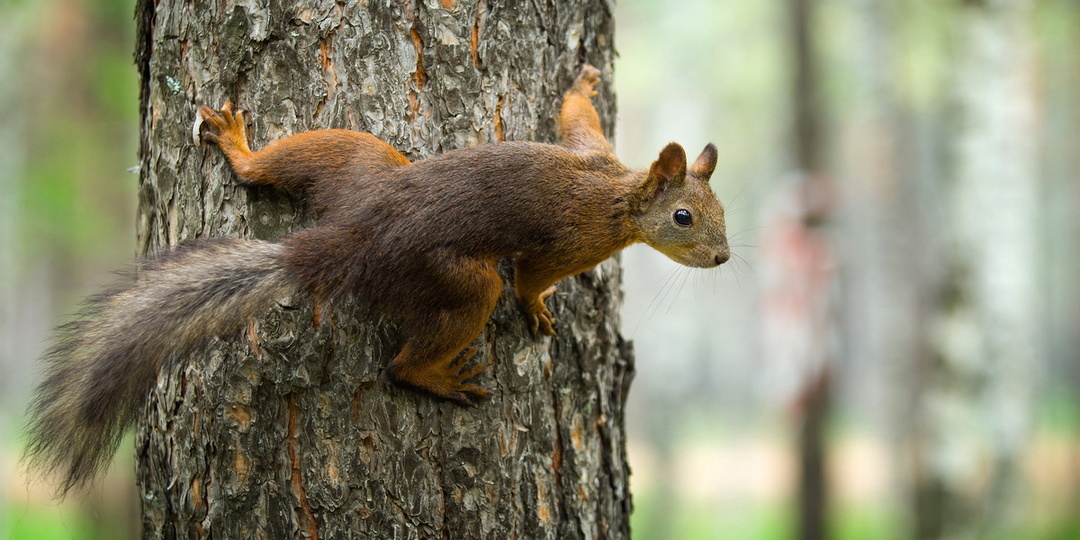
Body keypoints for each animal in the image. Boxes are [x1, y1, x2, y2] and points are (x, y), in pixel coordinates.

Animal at [23, 64, 729, 496]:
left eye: (723, 212)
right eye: (685, 217)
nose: (723, 259)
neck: (619, 196)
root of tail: (358, 234)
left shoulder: (593, 150)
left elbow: (576, 113)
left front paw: (582, 77)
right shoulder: (571, 239)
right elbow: (531, 276)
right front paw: (540, 309)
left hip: (357, 161)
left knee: (272, 169)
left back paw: (241, 151)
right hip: (455, 279)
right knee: (408, 360)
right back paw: (439, 377)